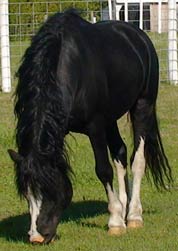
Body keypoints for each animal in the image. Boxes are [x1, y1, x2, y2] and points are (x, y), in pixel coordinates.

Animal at [8, 9, 171, 243]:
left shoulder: (95, 127)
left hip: (143, 105)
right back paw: (124, 208)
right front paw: (117, 214)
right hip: (111, 118)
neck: (67, 67)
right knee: (120, 153)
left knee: (138, 160)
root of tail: (138, 36)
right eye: (26, 193)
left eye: (49, 189)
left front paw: (115, 223)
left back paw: (133, 216)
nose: (37, 237)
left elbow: (103, 170)